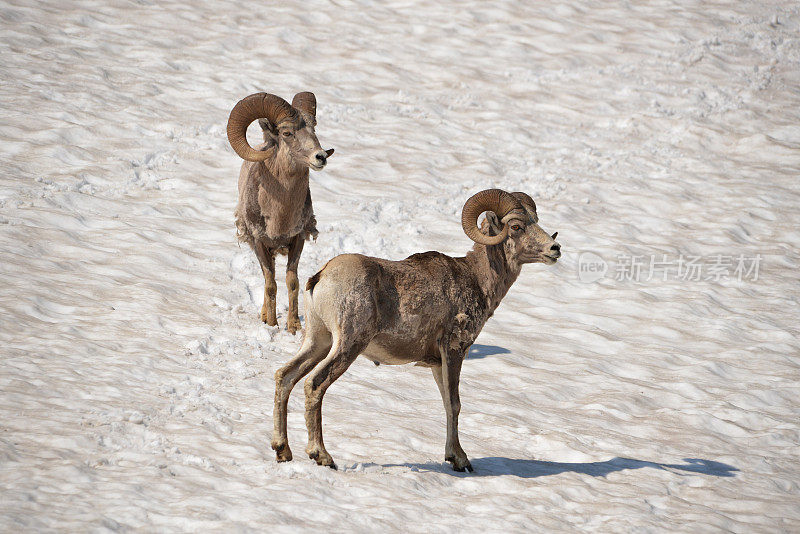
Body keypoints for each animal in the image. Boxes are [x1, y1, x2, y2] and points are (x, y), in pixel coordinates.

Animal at [228, 92, 334, 336]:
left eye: (314, 128)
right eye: (287, 133)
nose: (320, 157)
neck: (280, 217)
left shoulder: (297, 241)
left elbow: (292, 282)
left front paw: (293, 327)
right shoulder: (259, 243)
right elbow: (270, 284)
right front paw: (272, 324)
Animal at [274, 189, 564, 474]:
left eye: (536, 220)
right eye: (516, 226)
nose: (555, 249)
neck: (477, 279)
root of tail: (321, 278)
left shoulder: (437, 363)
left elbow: (447, 403)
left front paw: (452, 456)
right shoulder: (454, 351)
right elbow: (456, 403)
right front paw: (461, 461)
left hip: (318, 341)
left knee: (285, 376)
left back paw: (282, 451)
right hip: (348, 345)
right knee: (314, 384)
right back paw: (322, 456)